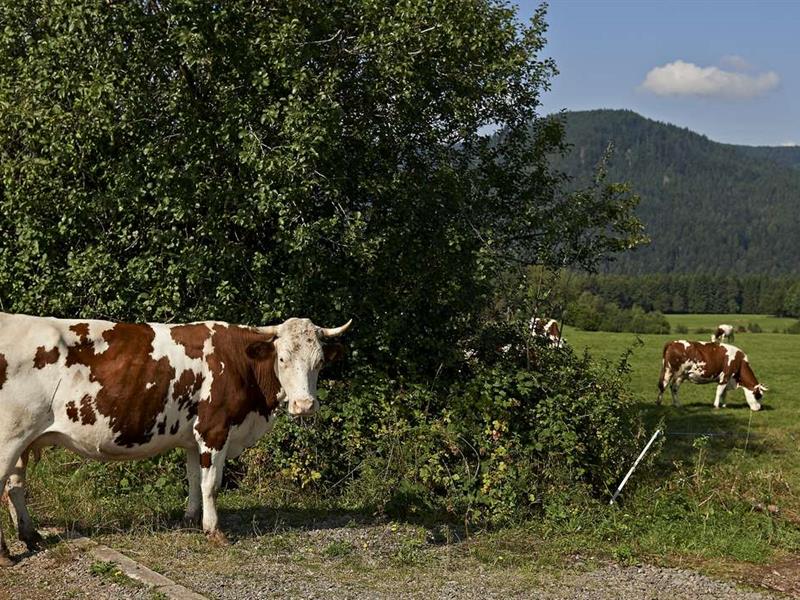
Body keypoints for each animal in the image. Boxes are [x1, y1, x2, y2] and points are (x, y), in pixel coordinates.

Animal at [0, 312, 350, 564]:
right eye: (282, 359)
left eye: (319, 362)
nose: (305, 405)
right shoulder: (214, 429)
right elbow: (212, 484)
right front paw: (214, 530)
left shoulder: (193, 438)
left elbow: (194, 478)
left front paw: (190, 519)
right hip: (9, 437)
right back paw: (7, 554)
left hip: (23, 440)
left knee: (15, 487)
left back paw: (31, 537)